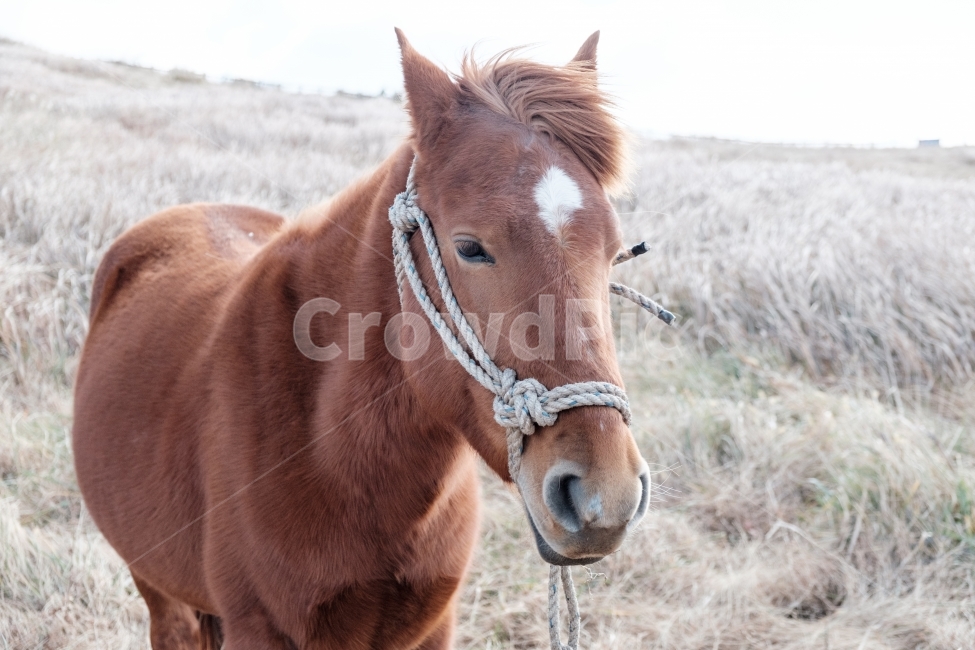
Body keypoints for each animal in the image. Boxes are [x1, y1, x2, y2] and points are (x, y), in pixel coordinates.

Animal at [72, 29, 651, 649]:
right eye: (470, 247)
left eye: (614, 252)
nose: (603, 495)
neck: (339, 459)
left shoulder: (433, 628)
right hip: (156, 587)